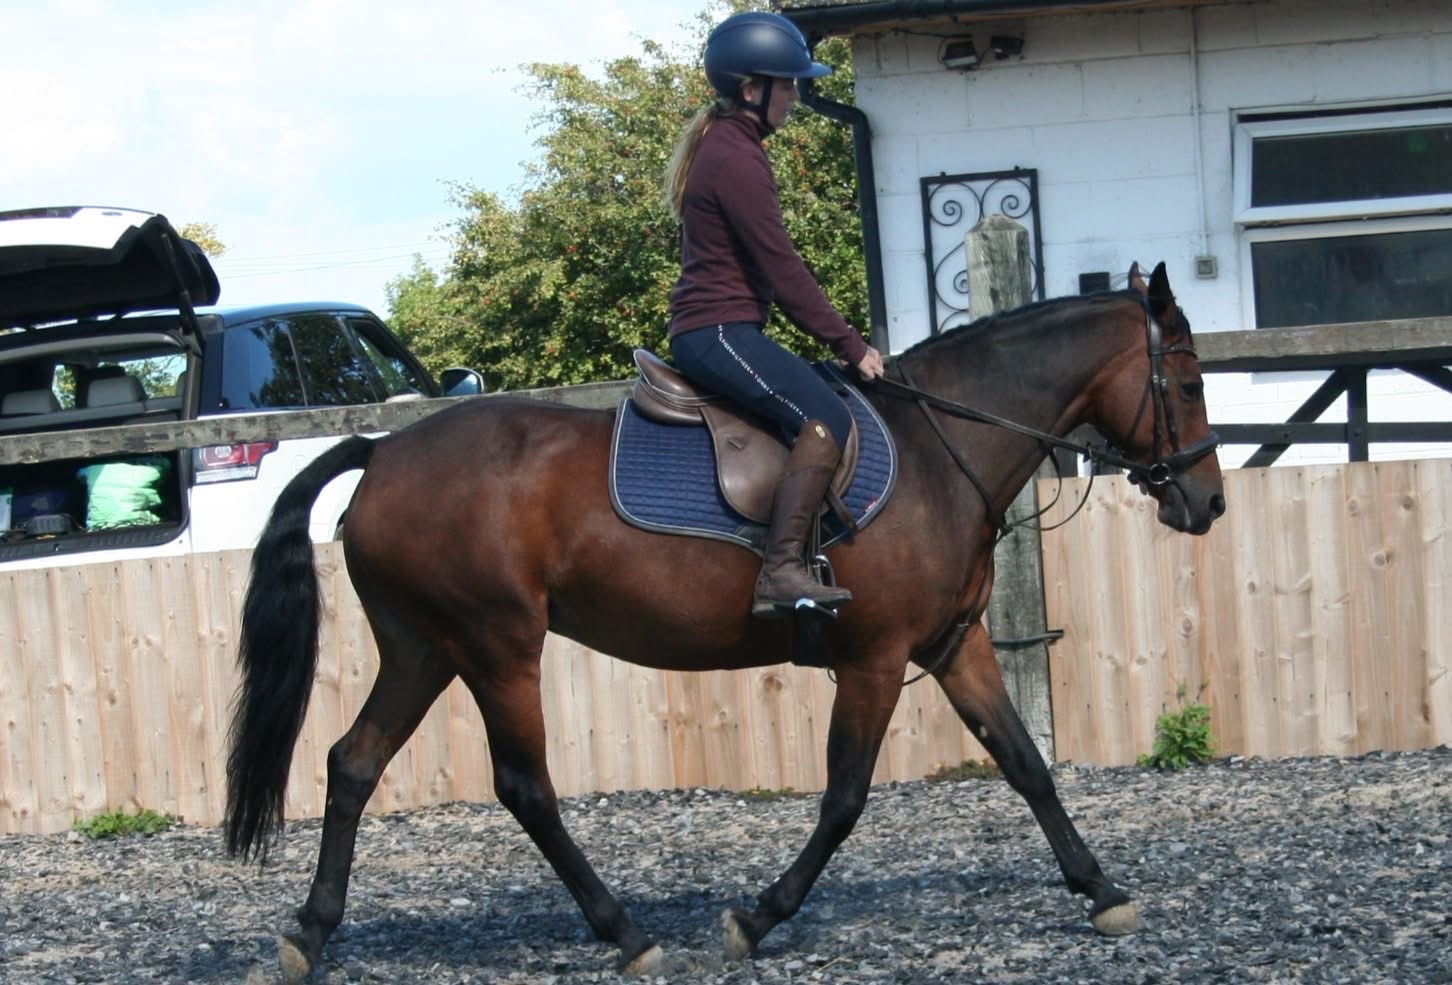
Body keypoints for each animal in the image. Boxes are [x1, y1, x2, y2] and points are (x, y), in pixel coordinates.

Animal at [225, 261, 1224, 980]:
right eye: (1185, 382)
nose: (1207, 502)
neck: (942, 451)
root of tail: (383, 450)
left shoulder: (954, 646)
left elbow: (1026, 764)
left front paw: (1101, 889)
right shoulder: (875, 658)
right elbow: (844, 797)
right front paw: (756, 916)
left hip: (424, 647)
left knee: (352, 763)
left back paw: (310, 933)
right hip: (496, 646)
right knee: (524, 786)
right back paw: (626, 933)